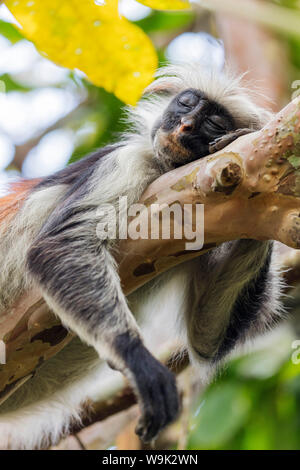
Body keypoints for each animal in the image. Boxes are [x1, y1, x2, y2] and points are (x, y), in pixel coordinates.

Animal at [0, 64, 284, 450]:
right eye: (186, 104)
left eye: (213, 123)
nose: (186, 126)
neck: (163, 168)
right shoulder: (126, 160)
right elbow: (60, 244)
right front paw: (138, 360)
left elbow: (206, 340)